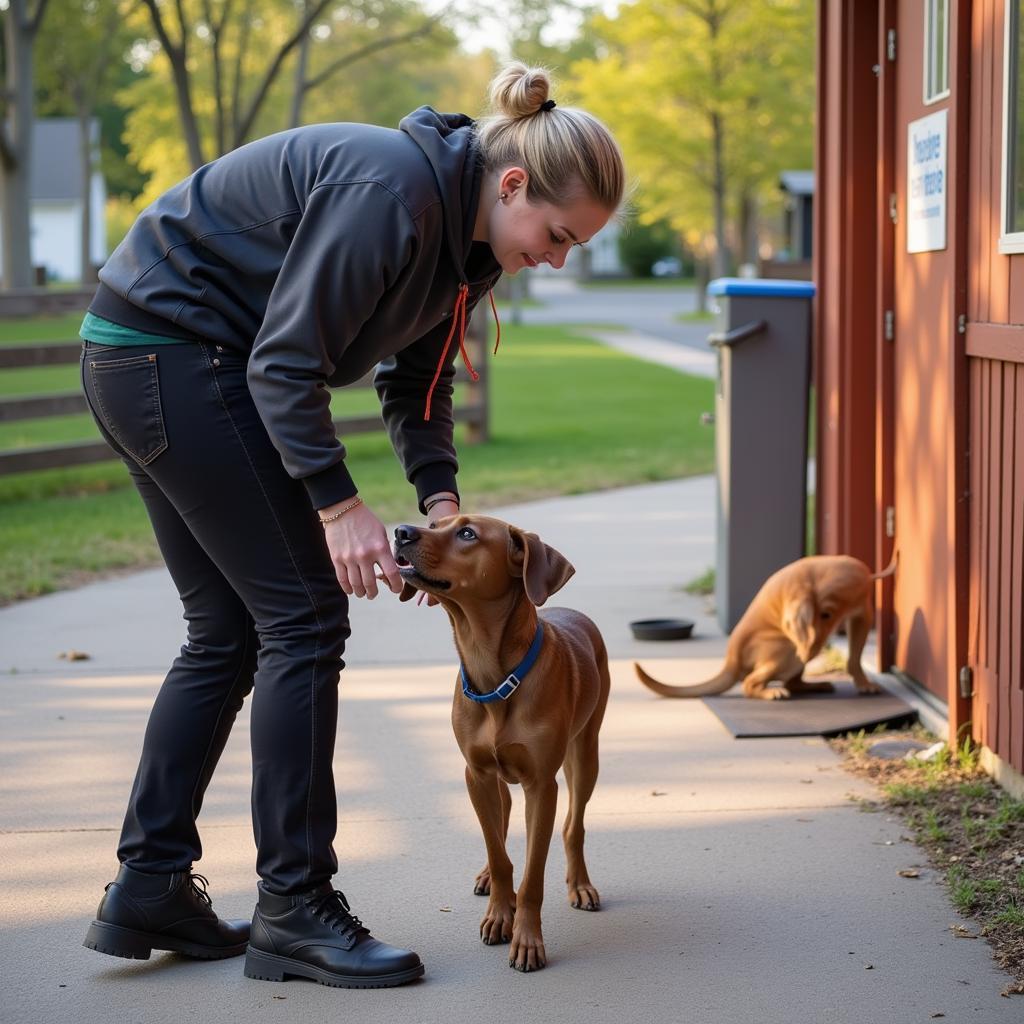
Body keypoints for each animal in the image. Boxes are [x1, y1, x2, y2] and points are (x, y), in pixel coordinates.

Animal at [391, 516, 606, 970]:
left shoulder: (541, 786)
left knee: (573, 825)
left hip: (585, 754)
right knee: (502, 825)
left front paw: (526, 938)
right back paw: (490, 878)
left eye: (467, 534)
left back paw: (580, 884)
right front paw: (498, 912)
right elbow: (498, 851)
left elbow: (531, 874)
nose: (400, 531)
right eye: (434, 522)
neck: (493, 674)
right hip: (492, 778)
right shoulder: (476, 773)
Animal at [634, 557, 892, 700]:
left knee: (791, 682)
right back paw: (771, 692)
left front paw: (864, 683)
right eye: (824, 615)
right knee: (750, 683)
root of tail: (732, 661)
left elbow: (855, 658)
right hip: (783, 652)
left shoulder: (860, 614)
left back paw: (815, 684)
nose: (812, 645)